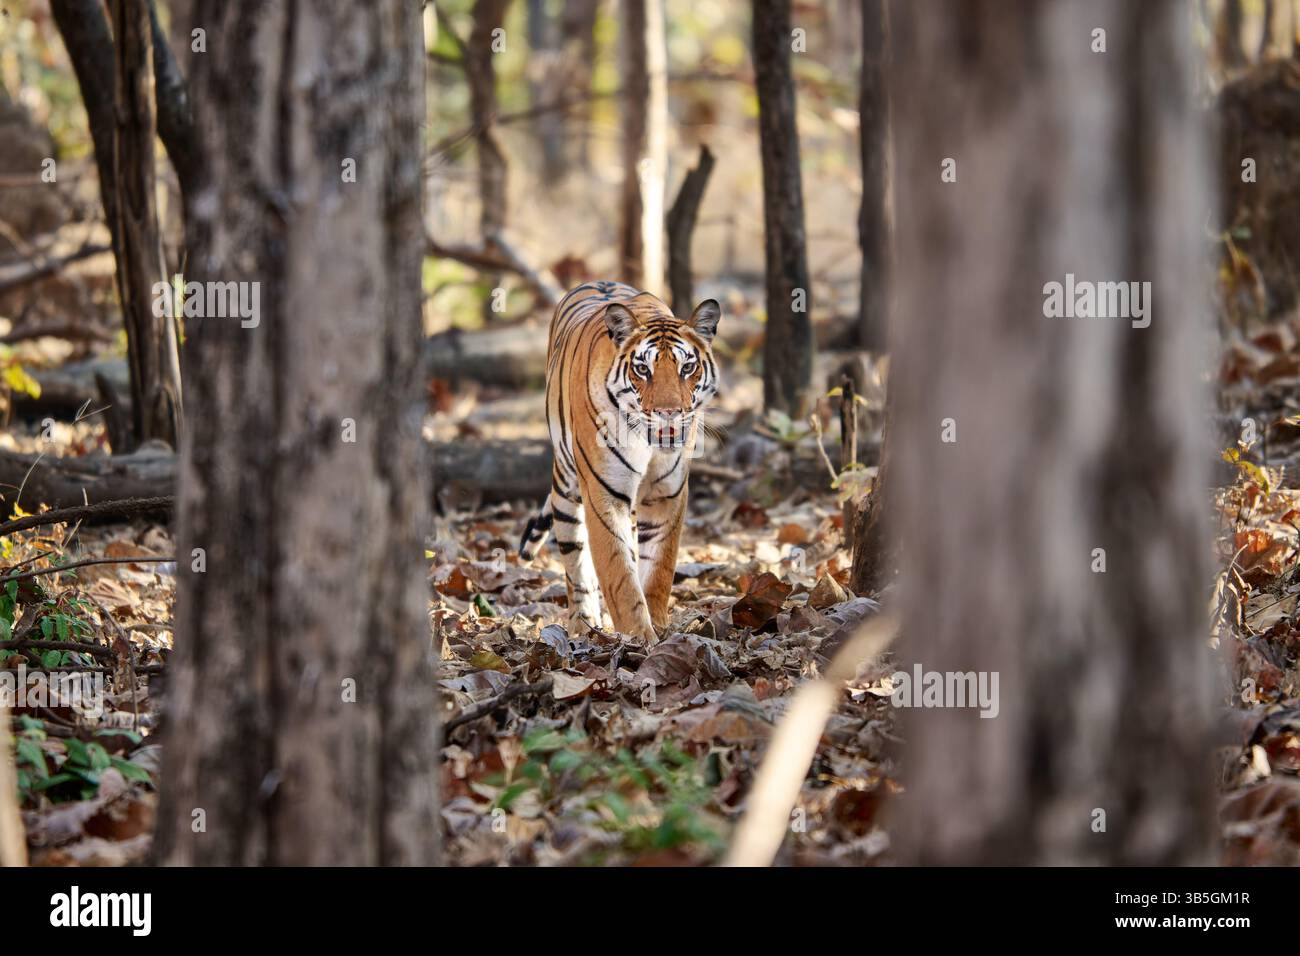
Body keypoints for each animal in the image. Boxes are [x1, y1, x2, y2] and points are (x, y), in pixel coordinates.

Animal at [518, 280, 722, 644]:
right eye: (643, 369)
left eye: (687, 367)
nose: (668, 412)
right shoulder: (604, 494)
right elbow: (619, 576)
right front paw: (639, 639)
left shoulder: (668, 495)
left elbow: (658, 569)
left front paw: (658, 628)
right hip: (566, 491)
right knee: (576, 567)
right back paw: (583, 626)